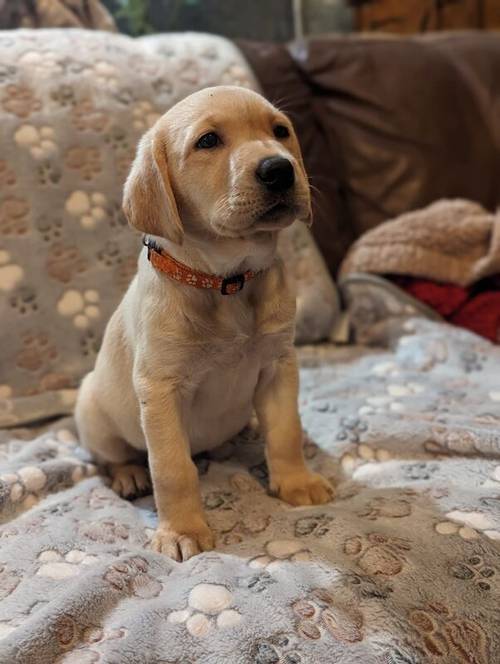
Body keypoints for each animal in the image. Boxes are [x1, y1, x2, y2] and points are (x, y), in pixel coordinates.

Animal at [75, 84, 332, 560]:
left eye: (280, 131)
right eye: (208, 141)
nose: (279, 169)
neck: (227, 281)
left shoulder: (279, 365)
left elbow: (286, 430)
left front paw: (296, 482)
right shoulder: (160, 389)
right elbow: (173, 468)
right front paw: (182, 530)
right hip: (94, 412)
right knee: (112, 455)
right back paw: (128, 474)